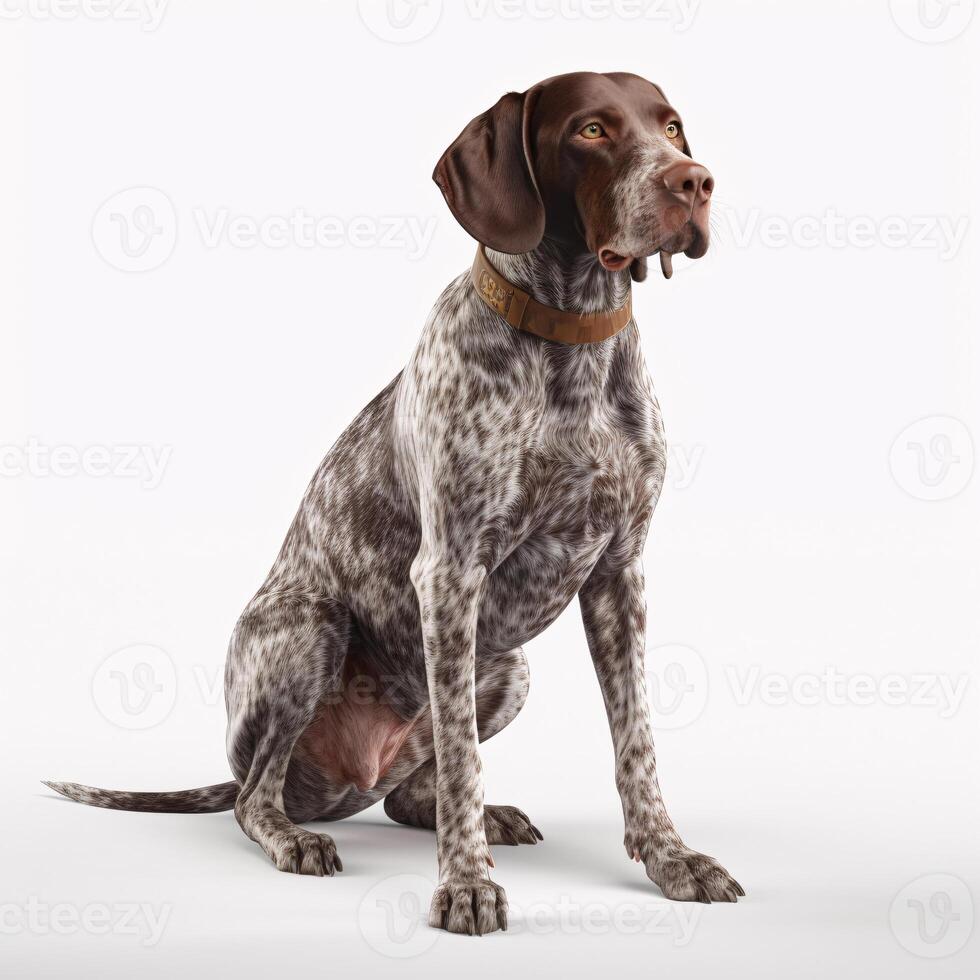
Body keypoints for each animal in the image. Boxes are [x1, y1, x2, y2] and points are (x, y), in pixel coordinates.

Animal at [47, 71, 744, 936]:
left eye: (671, 126)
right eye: (591, 130)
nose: (695, 181)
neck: (571, 340)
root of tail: (346, 782)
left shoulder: (620, 576)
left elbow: (635, 742)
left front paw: (671, 858)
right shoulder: (449, 575)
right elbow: (464, 766)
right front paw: (466, 885)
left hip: (507, 668)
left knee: (416, 791)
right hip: (308, 629)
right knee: (256, 798)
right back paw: (294, 836)